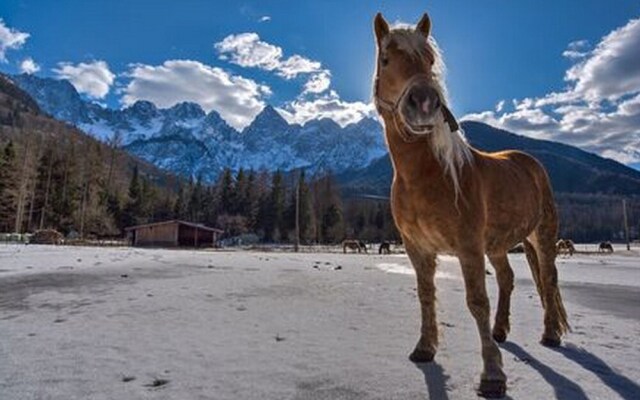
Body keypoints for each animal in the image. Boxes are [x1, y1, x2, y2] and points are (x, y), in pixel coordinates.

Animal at [370, 12, 568, 396]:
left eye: (430, 60)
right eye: (386, 59)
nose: (424, 103)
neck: (427, 176)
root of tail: (529, 162)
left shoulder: (468, 247)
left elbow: (477, 301)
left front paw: (492, 374)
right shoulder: (417, 248)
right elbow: (425, 294)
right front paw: (425, 348)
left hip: (542, 235)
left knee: (549, 278)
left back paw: (550, 334)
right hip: (498, 244)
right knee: (507, 278)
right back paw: (501, 330)